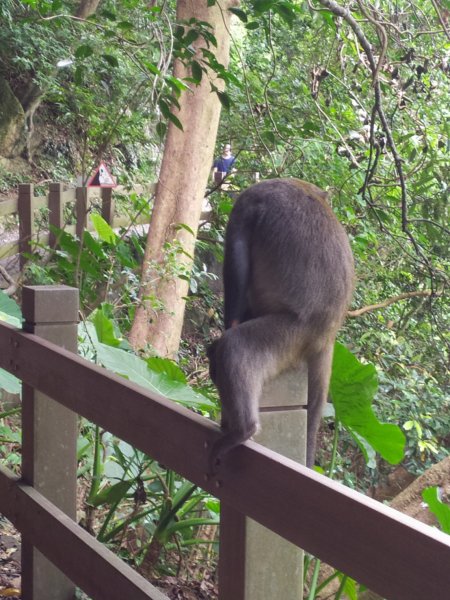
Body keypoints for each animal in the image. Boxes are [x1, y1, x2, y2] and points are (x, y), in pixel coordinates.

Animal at [207, 178, 356, 474]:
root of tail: (328, 332)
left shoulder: (246, 204)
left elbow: (237, 266)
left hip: (293, 333)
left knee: (236, 345)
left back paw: (243, 430)